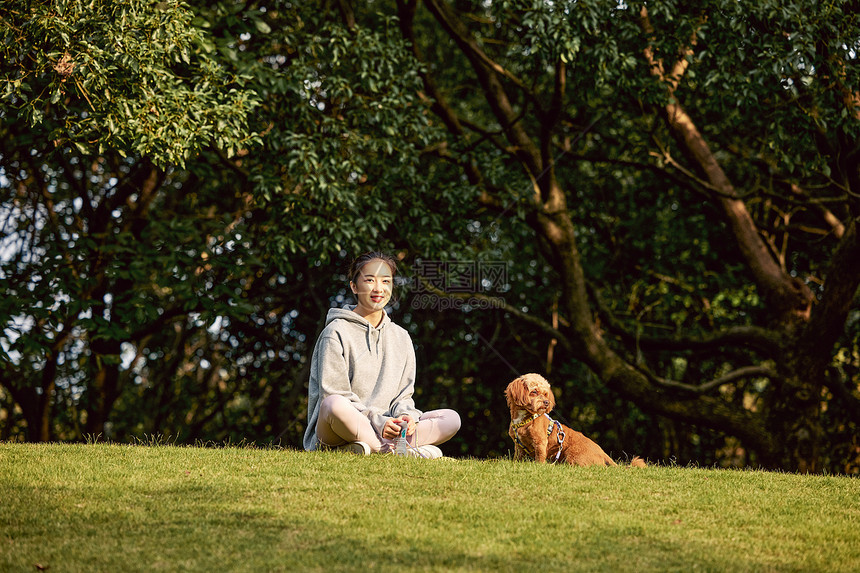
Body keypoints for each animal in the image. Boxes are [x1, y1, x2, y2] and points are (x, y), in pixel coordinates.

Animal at [504, 374, 644, 466]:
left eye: (545, 394)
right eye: (534, 392)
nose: (546, 402)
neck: (524, 419)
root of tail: (602, 453)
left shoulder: (540, 442)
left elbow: (540, 457)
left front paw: (539, 466)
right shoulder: (518, 445)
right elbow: (517, 457)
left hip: (573, 457)